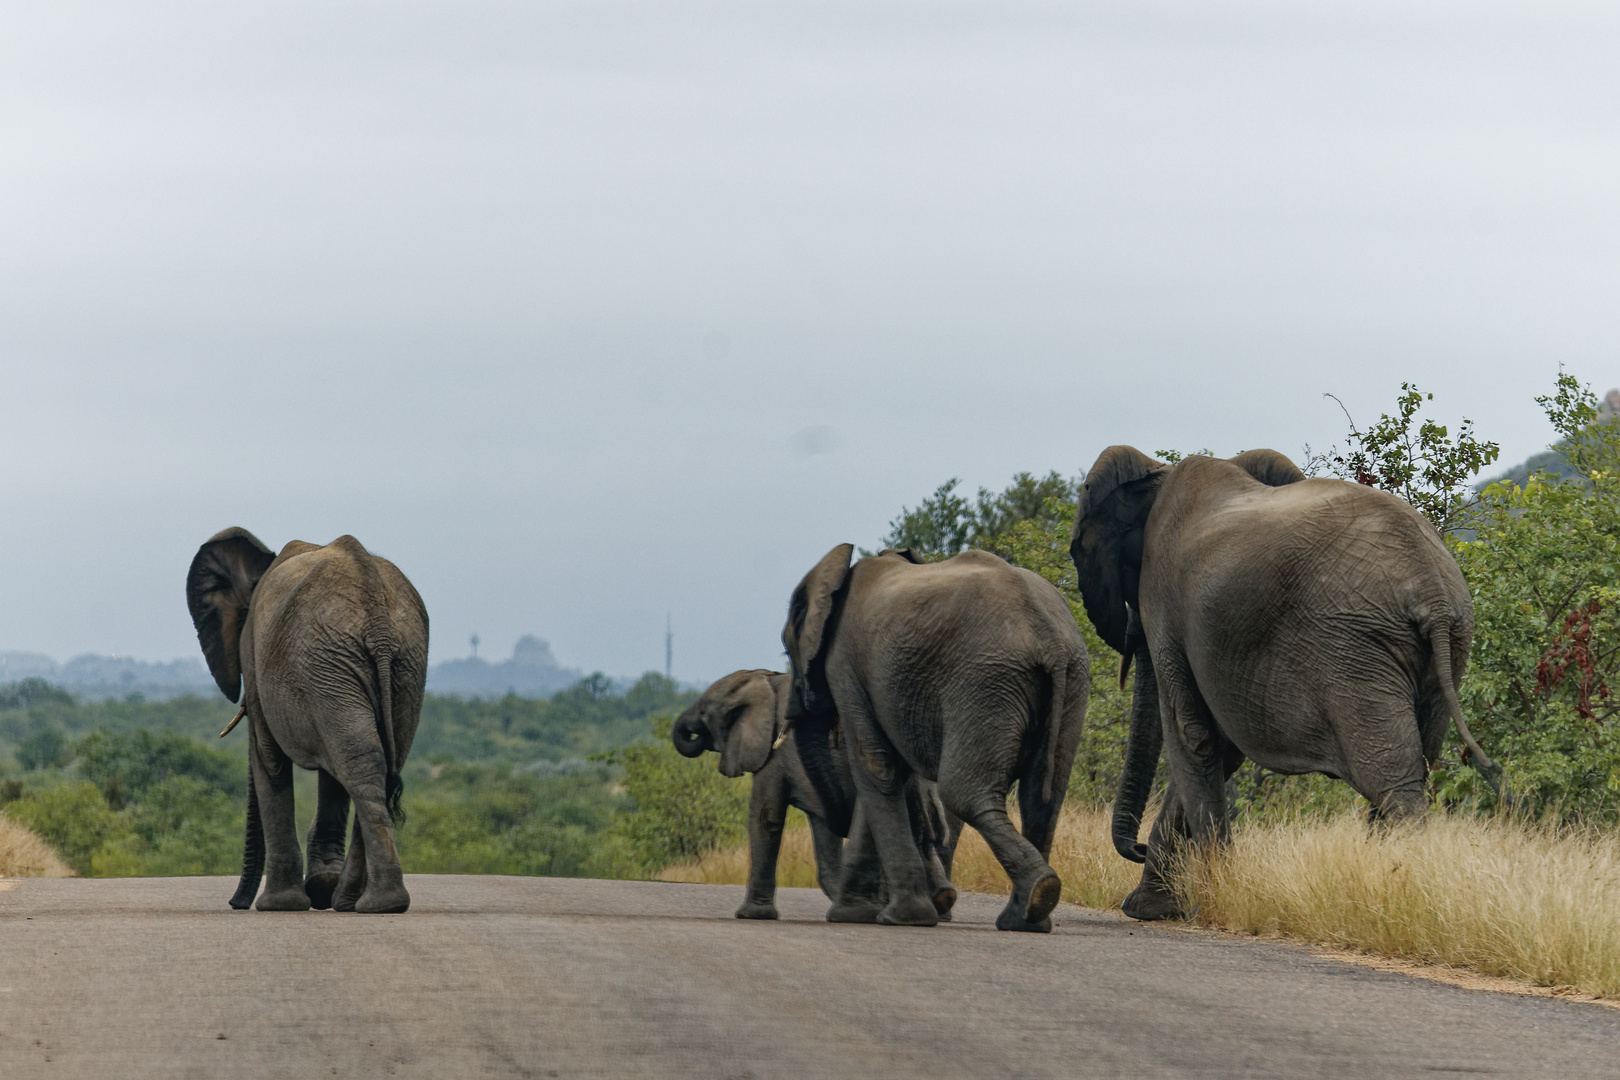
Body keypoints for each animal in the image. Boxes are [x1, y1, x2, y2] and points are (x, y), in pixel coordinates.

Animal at [185, 527, 427, 919]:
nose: (236, 904)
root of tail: (376, 614)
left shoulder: (256, 657)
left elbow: (269, 759)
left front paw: (279, 906)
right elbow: (330, 772)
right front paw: (320, 888)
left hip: (340, 660)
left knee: (358, 765)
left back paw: (372, 904)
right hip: (393, 665)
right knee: (371, 763)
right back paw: (358, 903)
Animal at [670, 667, 959, 919]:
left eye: (704, 712)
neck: (764, 679)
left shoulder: (774, 753)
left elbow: (766, 818)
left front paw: (749, 915)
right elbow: (824, 835)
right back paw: (940, 900)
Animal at [780, 544, 1088, 932]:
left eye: (787, 651)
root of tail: (1047, 633)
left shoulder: (844, 665)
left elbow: (873, 764)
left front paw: (897, 918)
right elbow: (888, 773)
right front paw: (856, 916)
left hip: (983, 682)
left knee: (964, 794)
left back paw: (1036, 896)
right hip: (1072, 680)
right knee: (1043, 798)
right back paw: (1027, 917)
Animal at [1069, 446, 1496, 919]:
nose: (1137, 848)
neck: (1157, 475)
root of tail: (1433, 593)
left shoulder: (1163, 597)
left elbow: (1192, 734)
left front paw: (1213, 903)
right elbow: (1219, 746)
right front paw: (1151, 908)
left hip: (1355, 649)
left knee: (1391, 778)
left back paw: (1403, 897)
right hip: (1445, 647)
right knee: (1419, 760)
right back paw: (1382, 890)